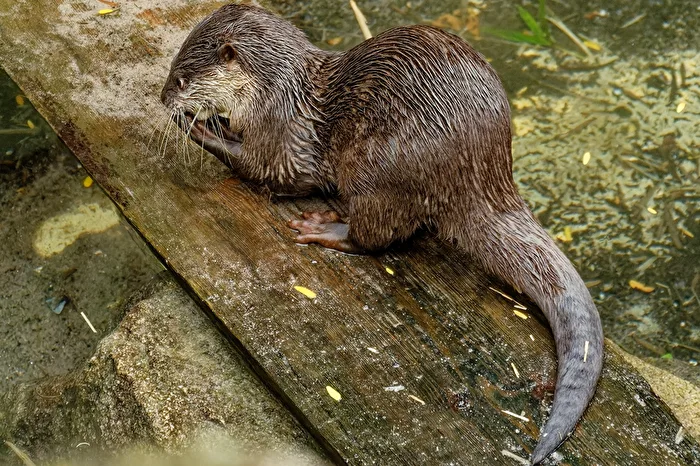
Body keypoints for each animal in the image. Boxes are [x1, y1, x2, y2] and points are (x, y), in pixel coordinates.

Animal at [161, 4, 603, 464]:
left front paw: (198, 126)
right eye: (173, 70)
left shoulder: (281, 133)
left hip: (378, 168)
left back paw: (325, 226)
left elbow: (267, 169)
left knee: (379, 234)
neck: (276, 91)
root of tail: (479, 172)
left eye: (181, 79)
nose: (162, 97)